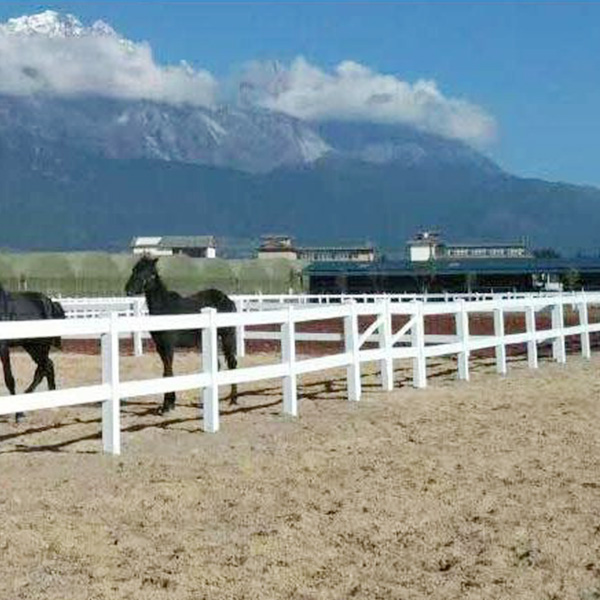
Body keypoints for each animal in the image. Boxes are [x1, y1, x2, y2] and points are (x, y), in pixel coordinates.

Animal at [0, 284, 66, 422]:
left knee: (45, 367)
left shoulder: (3, 347)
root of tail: (51, 303)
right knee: (46, 367)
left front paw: (18, 415)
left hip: (40, 346)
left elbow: (9, 379)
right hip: (30, 346)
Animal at [125, 255, 239, 414]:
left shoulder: (168, 345)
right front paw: (168, 404)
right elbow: (166, 372)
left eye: (148, 272)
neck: (165, 308)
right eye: (134, 269)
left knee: (231, 363)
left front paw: (167, 406)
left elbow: (168, 371)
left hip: (227, 336)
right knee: (221, 364)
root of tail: (228, 300)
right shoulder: (159, 346)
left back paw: (232, 400)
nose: (128, 290)